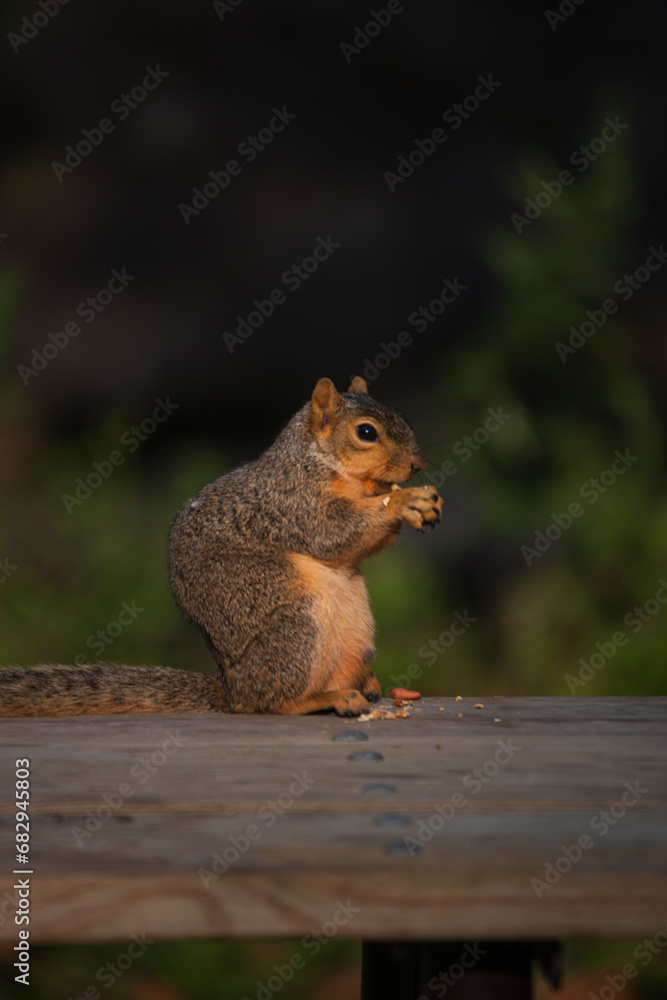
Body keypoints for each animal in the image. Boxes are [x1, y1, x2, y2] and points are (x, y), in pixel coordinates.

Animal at [0, 376, 442, 718]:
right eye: (366, 432)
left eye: (401, 418)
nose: (418, 465)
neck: (318, 460)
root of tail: (230, 691)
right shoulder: (293, 503)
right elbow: (333, 532)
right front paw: (402, 501)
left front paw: (421, 503)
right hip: (297, 627)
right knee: (269, 703)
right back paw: (328, 699)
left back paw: (364, 683)